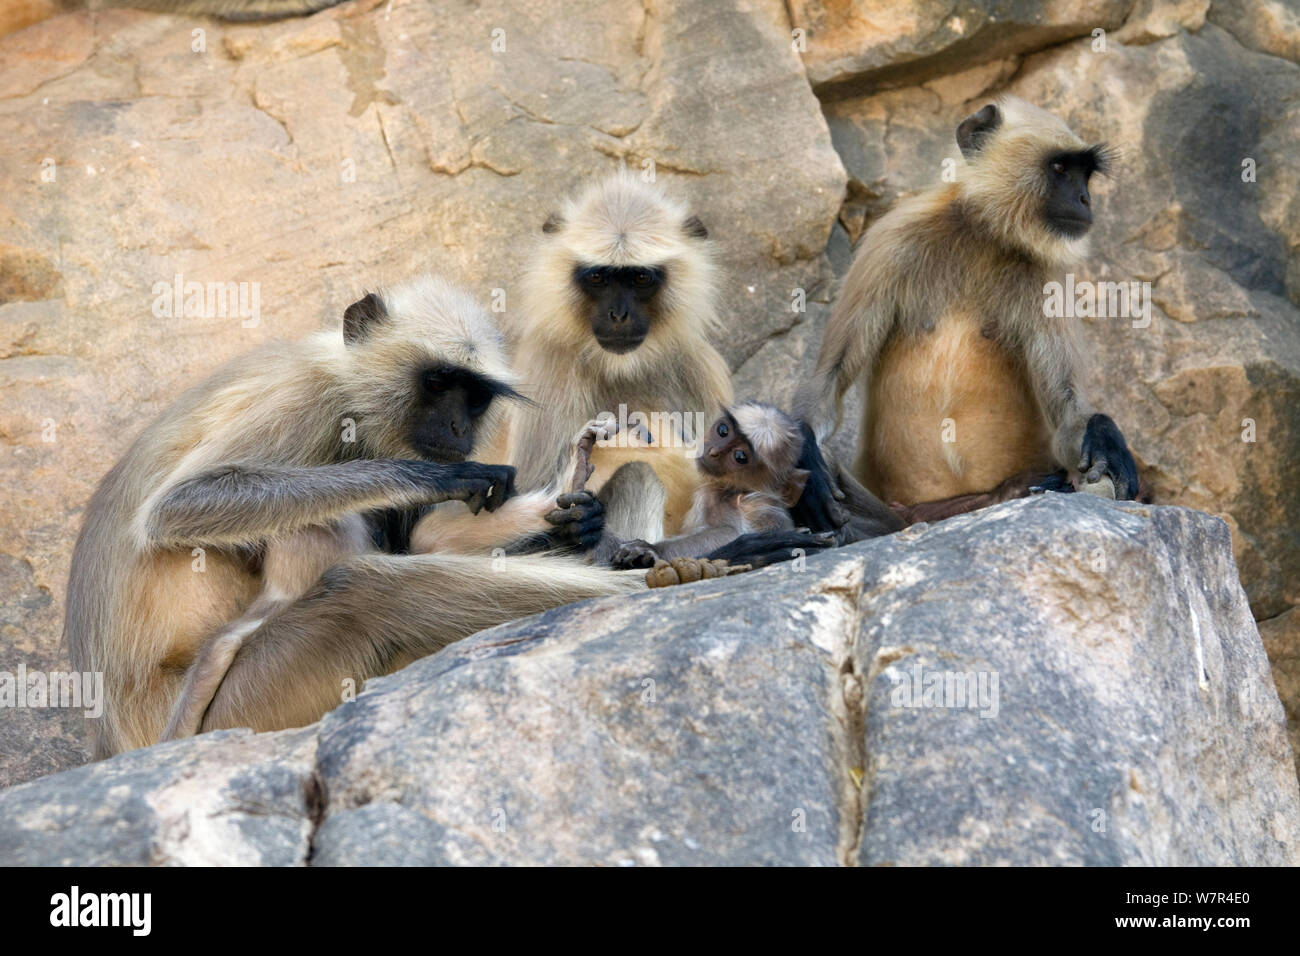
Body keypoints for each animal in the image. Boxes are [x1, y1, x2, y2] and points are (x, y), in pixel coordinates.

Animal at [65, 277, 644, 764]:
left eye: (476, 397)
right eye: (439, 383)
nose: (459, 428)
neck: (347, 384)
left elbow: (426, 540)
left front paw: (583, 525)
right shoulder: (304, 396)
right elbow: (175, 506)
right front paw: (431, 478)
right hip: (241, 706)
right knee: (365, 590)